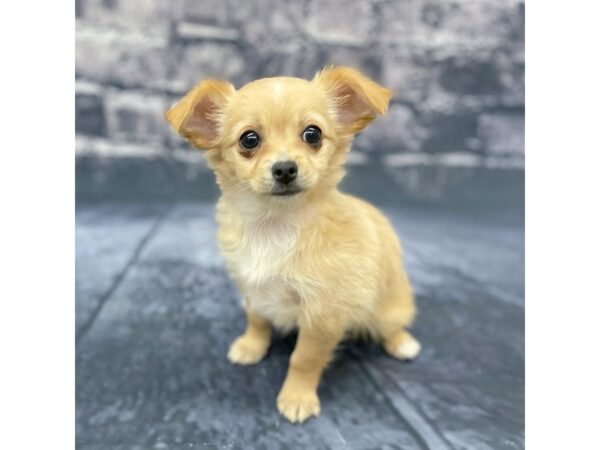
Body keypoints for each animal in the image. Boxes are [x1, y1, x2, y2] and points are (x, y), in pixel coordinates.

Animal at [163, 66, 418, 422]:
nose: (285, 168)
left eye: (313, 134)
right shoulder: (252, 287)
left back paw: (403, 344)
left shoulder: (322, 315)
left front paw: (296, 397)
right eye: (249, 139)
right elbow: (257, 320)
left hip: (389, 307)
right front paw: (251, 346)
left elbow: (304, 358)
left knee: (391, 325)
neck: (274, 226)